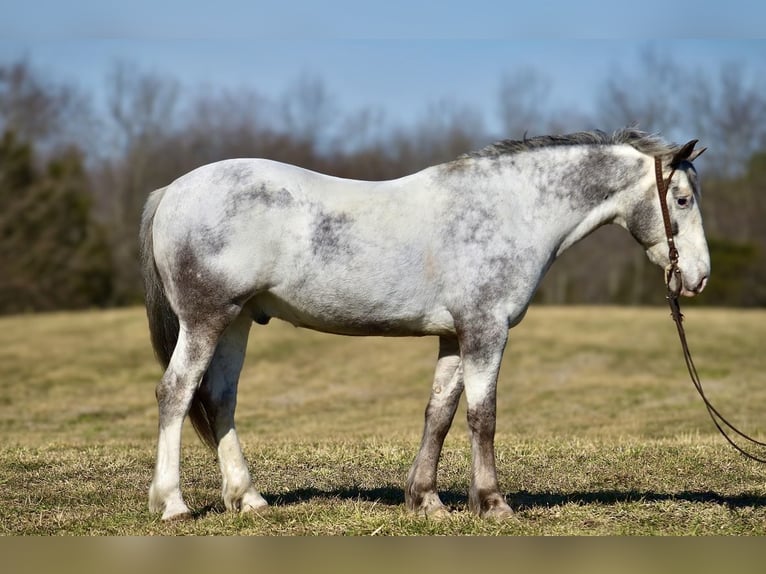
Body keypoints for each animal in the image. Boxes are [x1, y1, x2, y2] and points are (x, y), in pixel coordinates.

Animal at [141, 129, 712, 520]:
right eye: (682, 199)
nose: (699, 277)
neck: (508, 210)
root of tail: (172, 190)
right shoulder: (485, 330)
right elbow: (483, 416)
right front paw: (493, 503)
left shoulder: (454, 337)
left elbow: (438, 413)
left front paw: (426, 500)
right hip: (206, 320)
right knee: (175, 392)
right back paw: (172, 504)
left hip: (237, 321)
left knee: (219, 399)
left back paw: (249, 498)